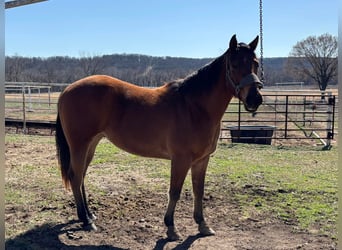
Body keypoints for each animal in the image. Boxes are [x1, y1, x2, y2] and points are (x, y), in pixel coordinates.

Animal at [56, 34, 262, 240]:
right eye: (234, 65)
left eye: (256, 63)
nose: (255, 99)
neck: (194, 106)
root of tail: (67, 90)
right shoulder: (181, 159)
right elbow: (175, 192)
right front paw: (171, 227)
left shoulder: (202, 160)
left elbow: (199, 191)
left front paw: (202, 224)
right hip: (79, 145)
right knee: (75, 176)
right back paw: (86, 220)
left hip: (91, 143)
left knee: (82, 176)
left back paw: (89, 214)